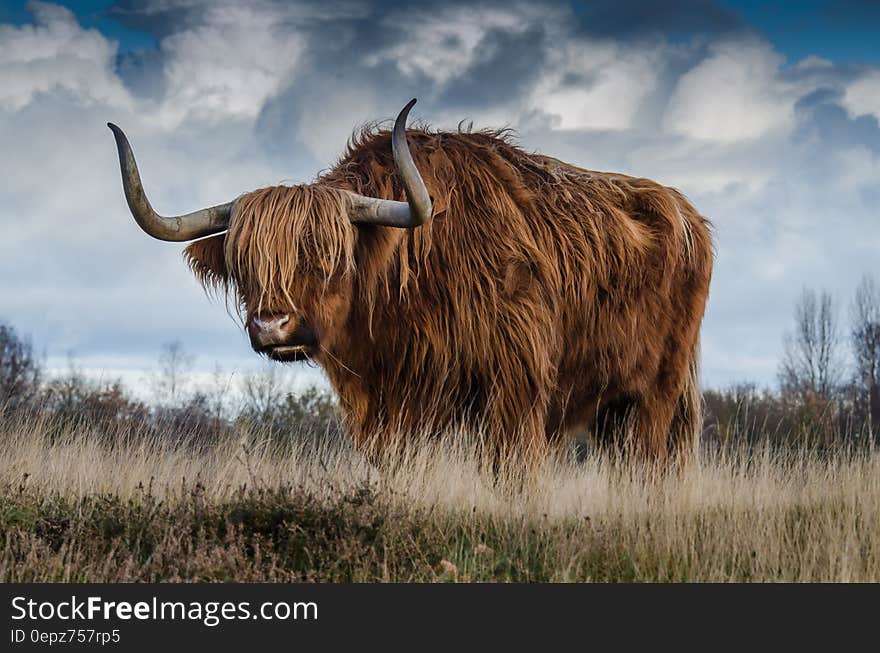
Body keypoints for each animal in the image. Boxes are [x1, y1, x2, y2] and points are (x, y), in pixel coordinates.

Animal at [110, 99, 716, 460]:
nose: (272, 326)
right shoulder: (386, 405)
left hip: (656, 393)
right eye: (244, 264)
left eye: (329, 255)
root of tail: (686, 212)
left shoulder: (515, 390)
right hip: (614, 407)